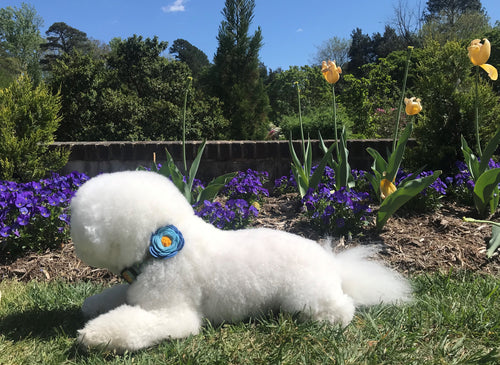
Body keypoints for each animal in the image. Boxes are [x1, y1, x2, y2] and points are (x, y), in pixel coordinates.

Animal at [71, 171, 414, 352]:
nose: (73, 233)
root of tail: (334, 266)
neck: (165, 249)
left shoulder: (171, 313)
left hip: (307, 298)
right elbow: (116, 298)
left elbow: (134, 325)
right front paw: (92, 305)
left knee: (342, 309)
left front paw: (94, 334)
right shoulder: (136, 292)